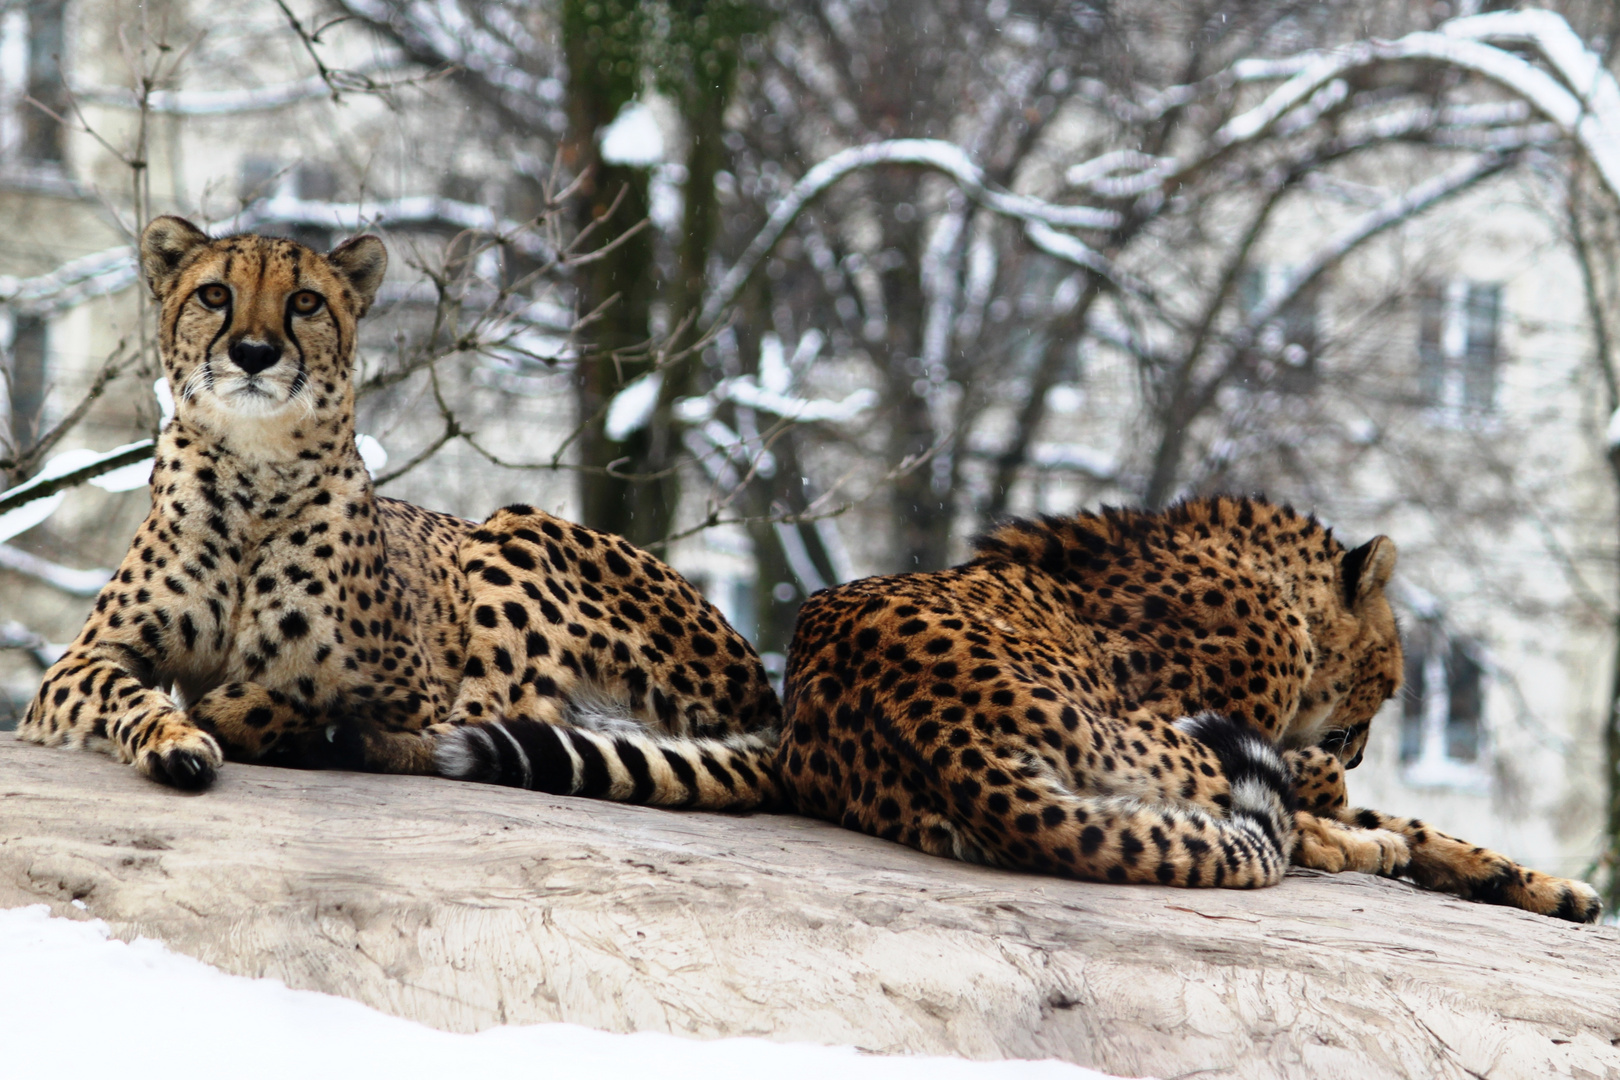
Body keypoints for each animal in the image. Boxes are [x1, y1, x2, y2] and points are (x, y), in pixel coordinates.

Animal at [17, 216, 777, 809]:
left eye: (305, 301)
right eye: (214, 294)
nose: (254, 354)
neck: (256, 474)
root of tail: (767, 693)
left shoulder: (411, 687)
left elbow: (296, 695)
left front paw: (252, 716)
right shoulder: (81, 662)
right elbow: (128, 694)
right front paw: (178, 742)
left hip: (512, 529)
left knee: (488, 729)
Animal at [777, 498, 1600, 919]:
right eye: (1390, 683)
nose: (1361, 749)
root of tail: (944, 733)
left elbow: (1418, 821)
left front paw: (1533, 884)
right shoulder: (1188, 713)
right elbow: (1329, 797)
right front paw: (1359, 823)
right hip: (1149, 740)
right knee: (1270, 827)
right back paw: (1358, 845)